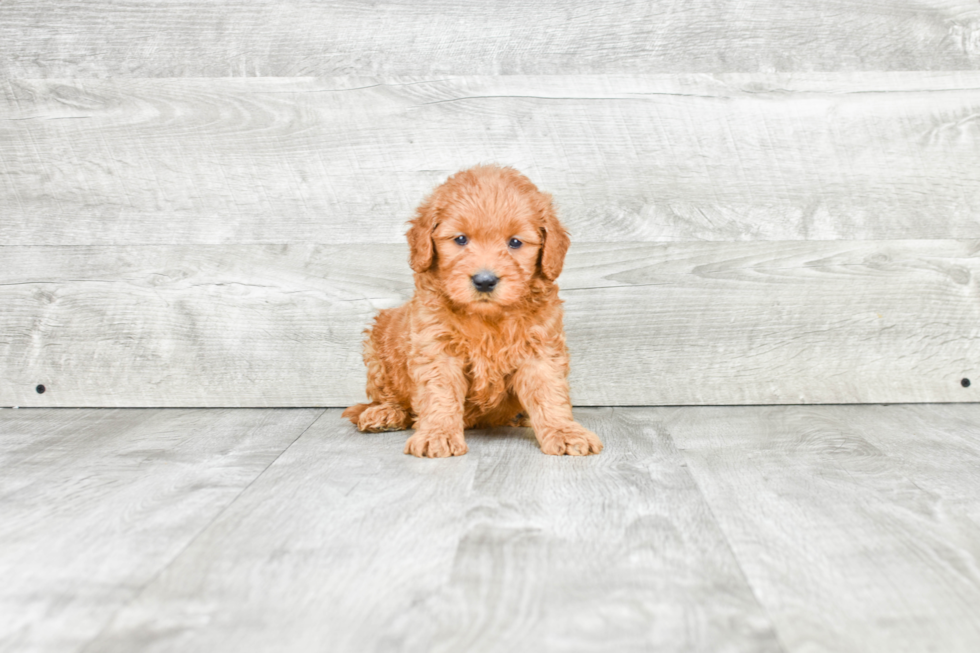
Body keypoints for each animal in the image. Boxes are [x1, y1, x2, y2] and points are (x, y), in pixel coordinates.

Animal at [344, 164, 604, 458]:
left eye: (515, 243)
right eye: (460, 239)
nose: (484, 280)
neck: (486, 317)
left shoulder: (540, 349)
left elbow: (549, 393)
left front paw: (565, 431)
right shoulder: (436, 348)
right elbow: (440, 394)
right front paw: (438, 434)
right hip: (378, 347)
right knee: (387, 396)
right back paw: (385, 414)